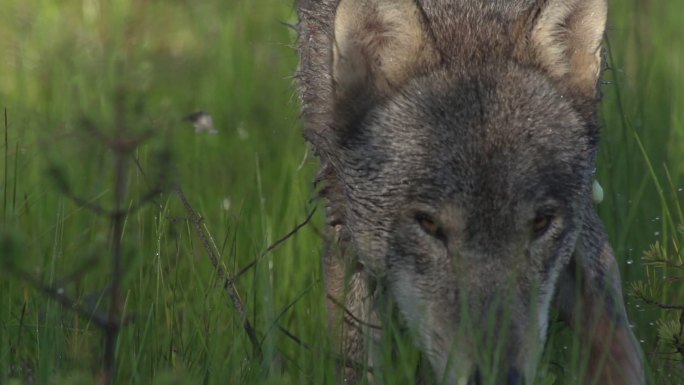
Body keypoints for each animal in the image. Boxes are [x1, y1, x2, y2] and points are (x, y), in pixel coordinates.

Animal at [296, 0, 648, 380]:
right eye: (429, 225)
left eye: (541, 224)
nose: (499, 378)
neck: (467, 14)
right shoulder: (342, 216)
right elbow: (354, 357)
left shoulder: (583, 214)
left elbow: (613, 333)